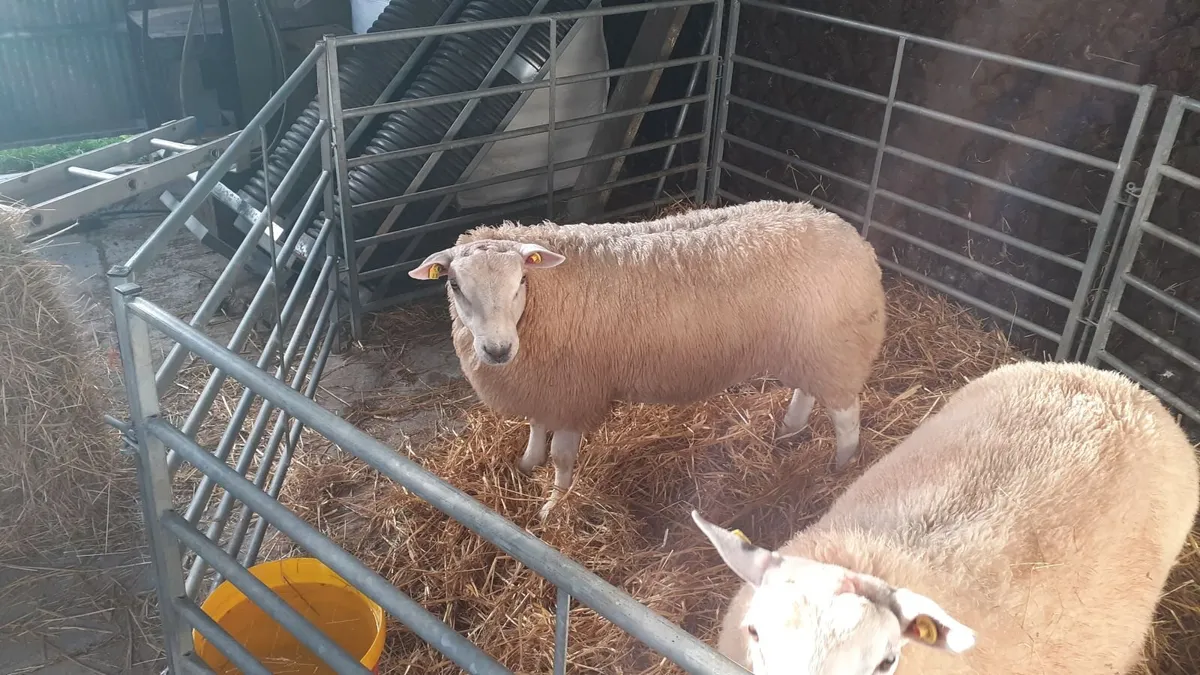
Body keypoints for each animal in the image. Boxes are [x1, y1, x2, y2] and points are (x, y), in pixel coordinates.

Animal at [409, 200, 886, 518]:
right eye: (454, 285)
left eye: (520, 281)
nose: (497, 350)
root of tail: (851, 234)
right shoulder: (547, 385)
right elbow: (535, 427)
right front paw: (527, 464)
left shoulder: (574, 390)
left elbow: (562, 458)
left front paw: (554, 506)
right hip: (809, 347)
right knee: (807, 390)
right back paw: (790, 429)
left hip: (836, 348)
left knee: (846, 415)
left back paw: (840, 466)